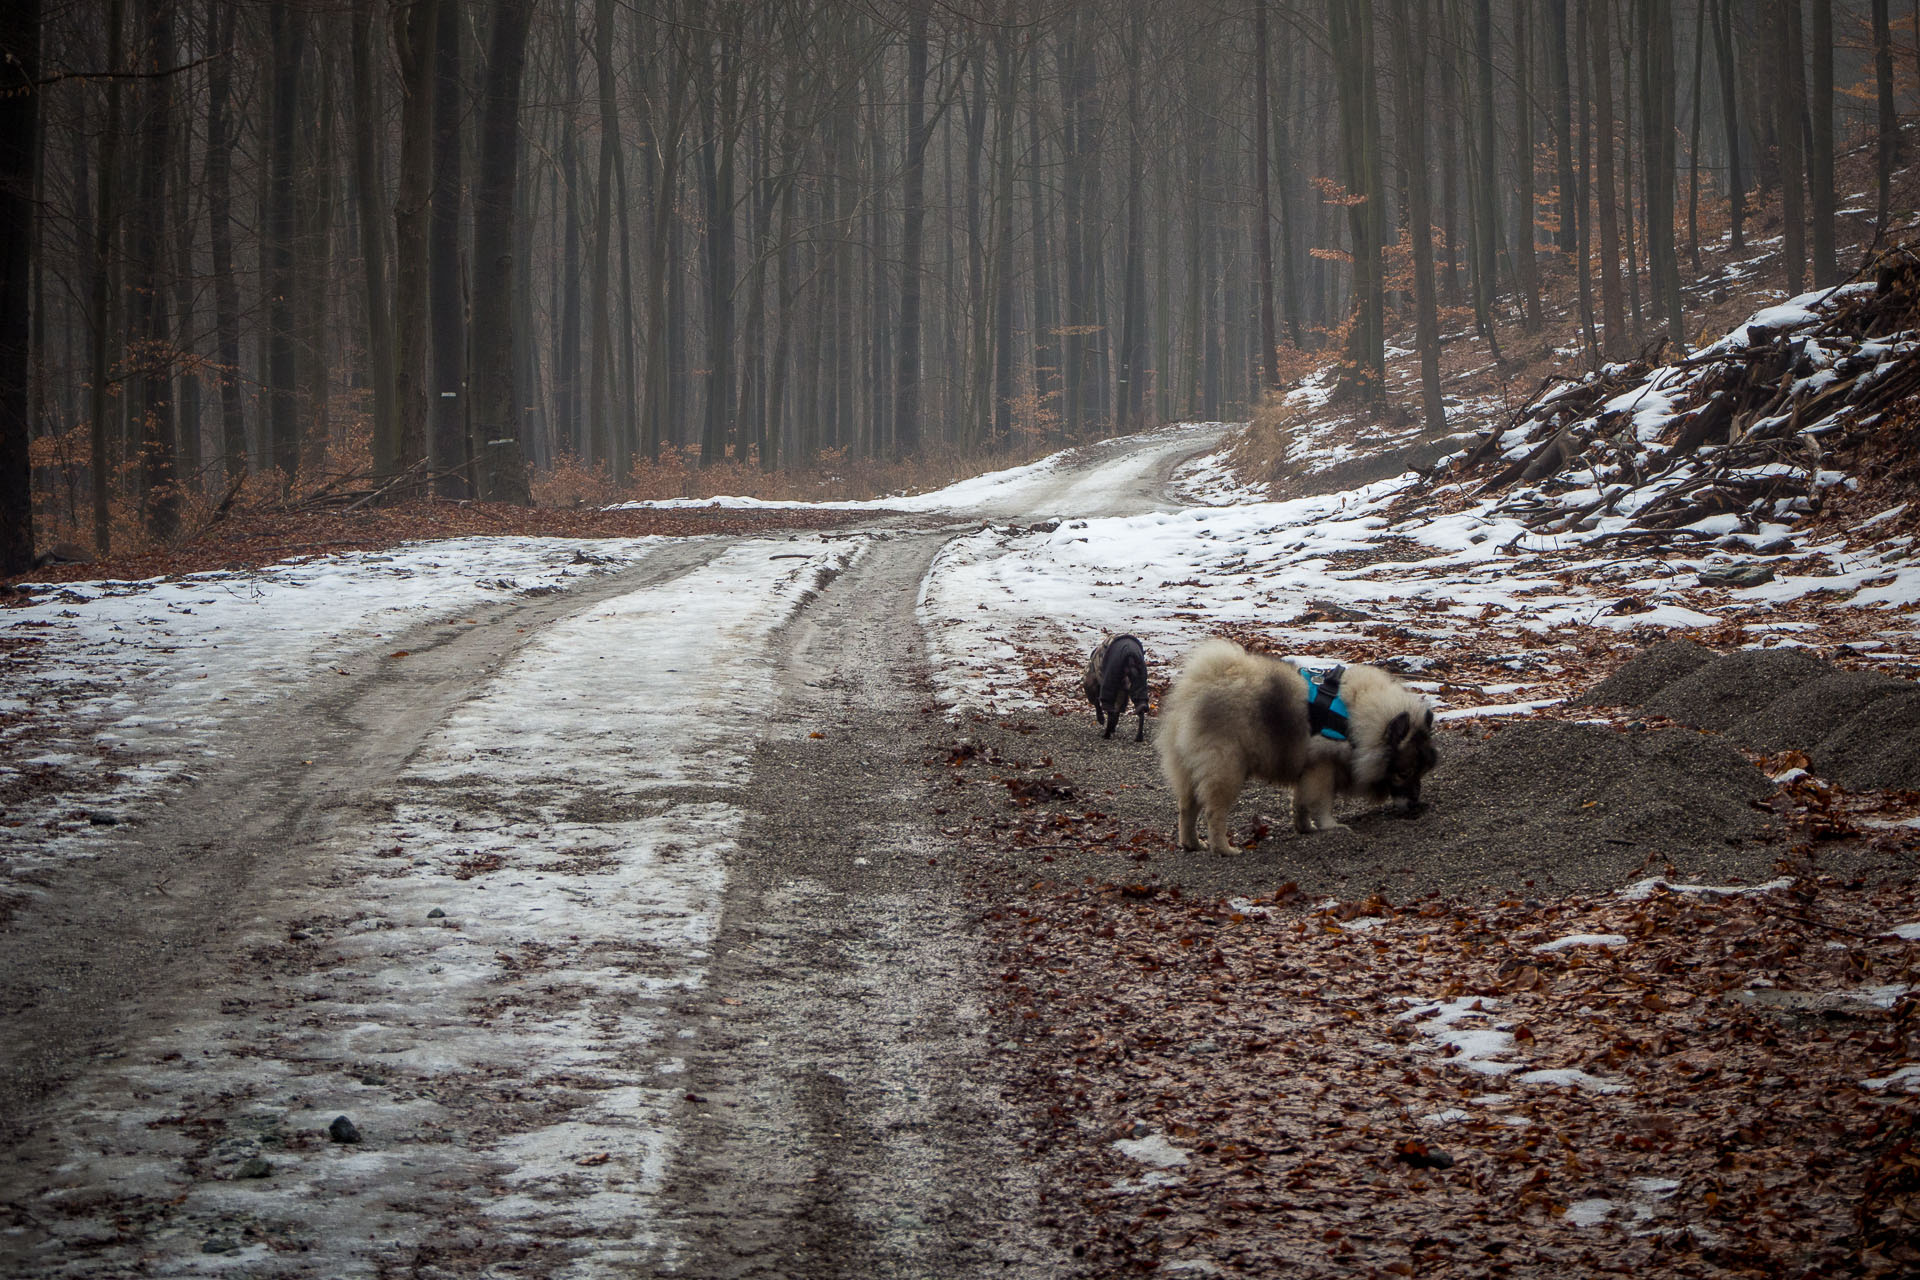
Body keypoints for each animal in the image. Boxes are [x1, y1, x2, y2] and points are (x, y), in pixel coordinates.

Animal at [1144, 637, 1436, 855]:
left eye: (1421, 773)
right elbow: (1321, 803)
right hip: (1226, 769)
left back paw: (1192, 844)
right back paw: (1224, 849)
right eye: (1403, 773)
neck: (1356, 719)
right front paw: (1331, 827)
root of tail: (1200, 686)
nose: (1415, 802)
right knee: (1213, 813)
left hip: (1190, 768)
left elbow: (1301, 803)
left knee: (1186, 808)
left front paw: (1305, 828)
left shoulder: (1307, 769)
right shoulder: (1323, 768)